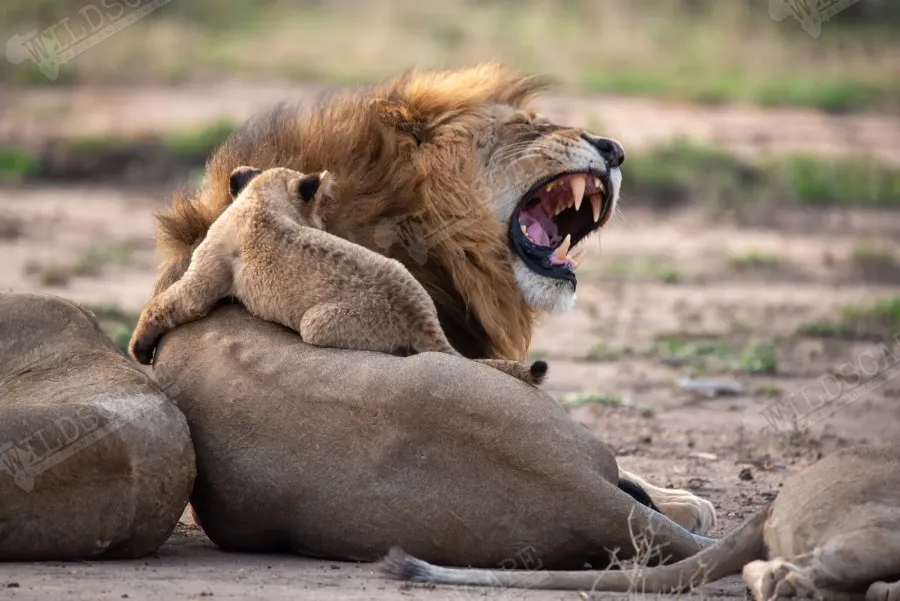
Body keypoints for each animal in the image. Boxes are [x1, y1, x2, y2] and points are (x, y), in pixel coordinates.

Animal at [130, 165, 546, 385]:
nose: (324, 224)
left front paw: (138, 348)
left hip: (317, 323)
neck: (262, 198)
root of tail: (425, 320)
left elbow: (172, 302)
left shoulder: (207, 271)